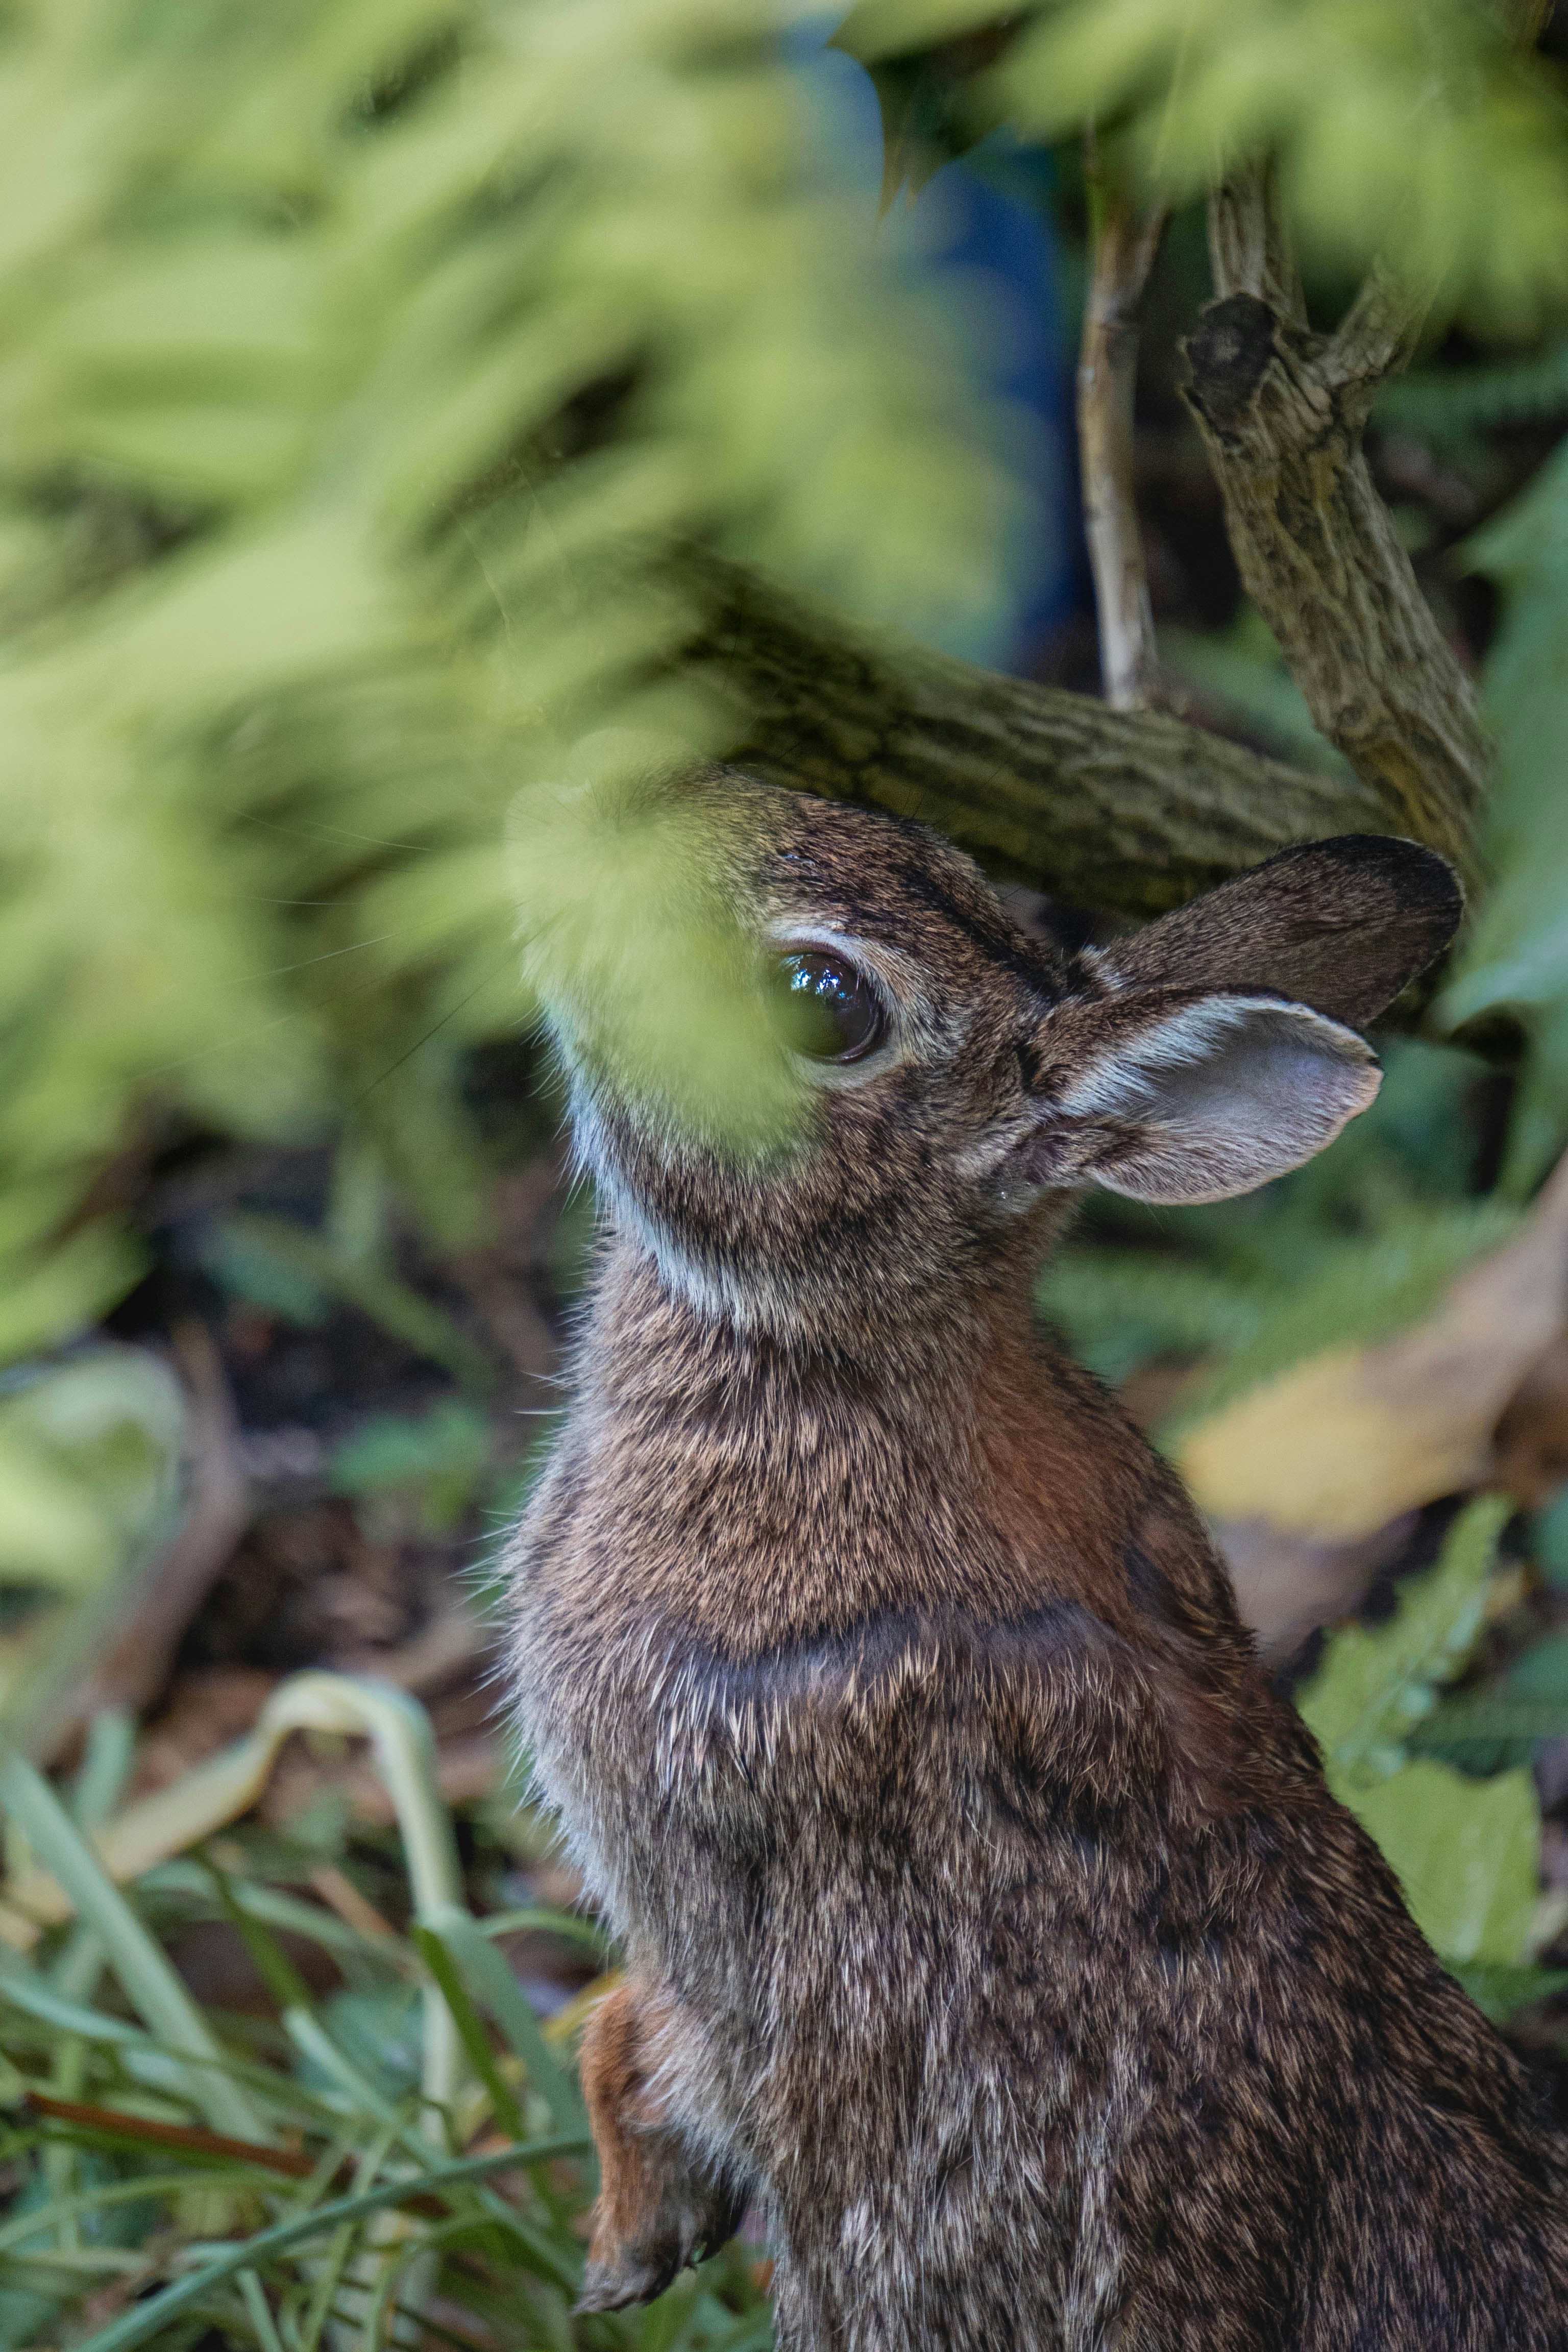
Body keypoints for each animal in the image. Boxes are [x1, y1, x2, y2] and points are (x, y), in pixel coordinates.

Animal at [505, 761, 1568, 2352]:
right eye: (923, 839)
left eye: (821, 1002)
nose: (563, 813)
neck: (835, 1357)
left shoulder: (734, 1937)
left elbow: (636, 2038)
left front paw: (627, 2247)